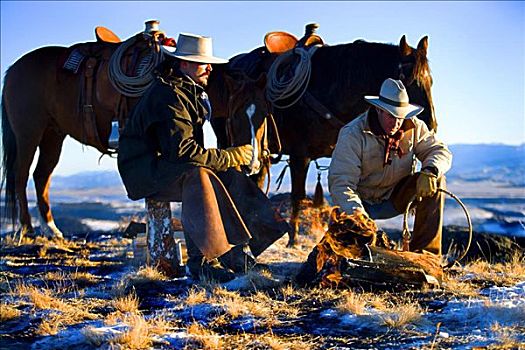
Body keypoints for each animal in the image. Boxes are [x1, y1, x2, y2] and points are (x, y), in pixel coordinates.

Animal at [1, 27, 266, 241]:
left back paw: (51, 229)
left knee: (41, 176)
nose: (253, 164)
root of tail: (13, 70)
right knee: (21, 176)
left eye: (263, 116)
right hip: (28, 133)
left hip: (53, 135)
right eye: (236, 116)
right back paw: (28, 229)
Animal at [211, 34, 436, 245]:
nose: (431, 124)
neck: (332, 87)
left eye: (430, 81)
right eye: (409, 81)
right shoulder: (299, 155)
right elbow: (298, 196)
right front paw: (293, 240)